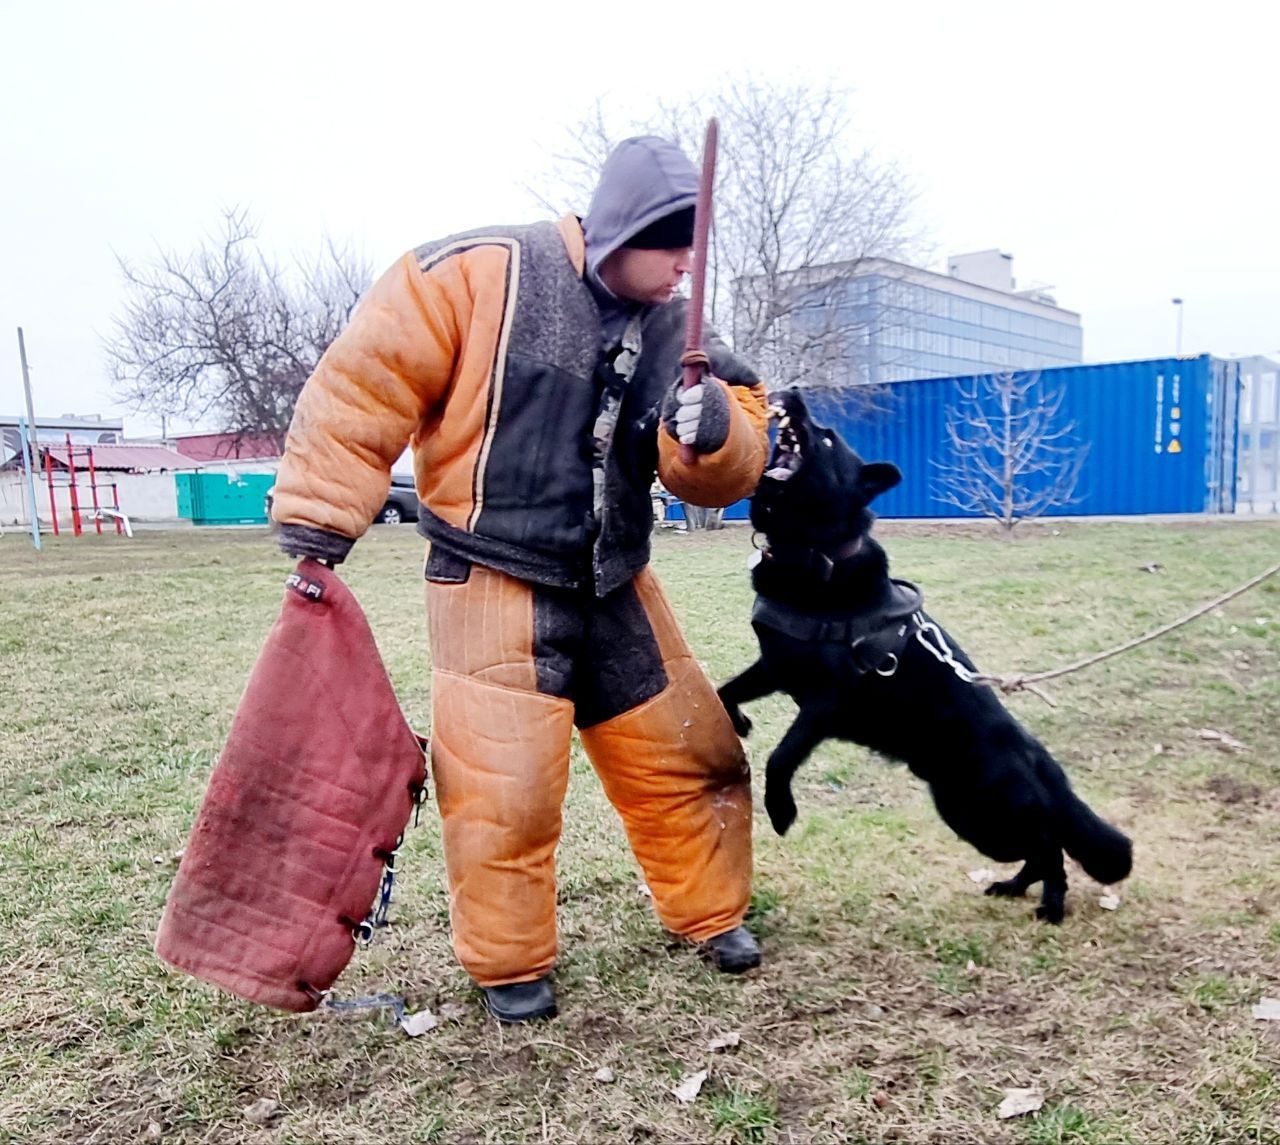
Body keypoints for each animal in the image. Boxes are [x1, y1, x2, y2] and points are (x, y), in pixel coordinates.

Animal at [721, 388, 1131, 926]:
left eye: (827, 439)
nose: (793, 392)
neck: (815, 553)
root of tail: (1038, 756)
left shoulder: (826, 702)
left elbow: (781, 755)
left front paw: (780, 810)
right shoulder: (775, 666)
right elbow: (724, 691)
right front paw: (741, 722)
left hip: (990, 807)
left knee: (1050, 845)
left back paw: (1053, 904)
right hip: (968, 815)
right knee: (1039, 849)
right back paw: (1016, 888)